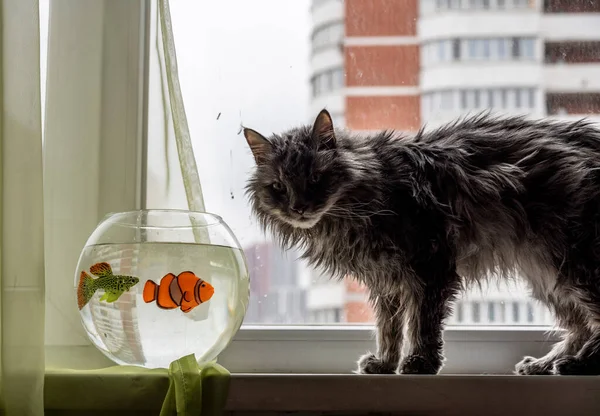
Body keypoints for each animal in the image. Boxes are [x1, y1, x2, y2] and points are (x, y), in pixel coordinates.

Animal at [243, 109, 600, 376]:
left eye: (316, 179)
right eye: (279, 187)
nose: (298, 208)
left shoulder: (430, 267)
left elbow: (421, 325)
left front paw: (420, 362)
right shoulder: (385, 280)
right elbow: (388, 328)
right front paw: (385, 362)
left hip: (573, 265)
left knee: (592, 322)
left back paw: (578, 363)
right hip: (548, 276)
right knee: (579, 326)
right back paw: (546, 363)